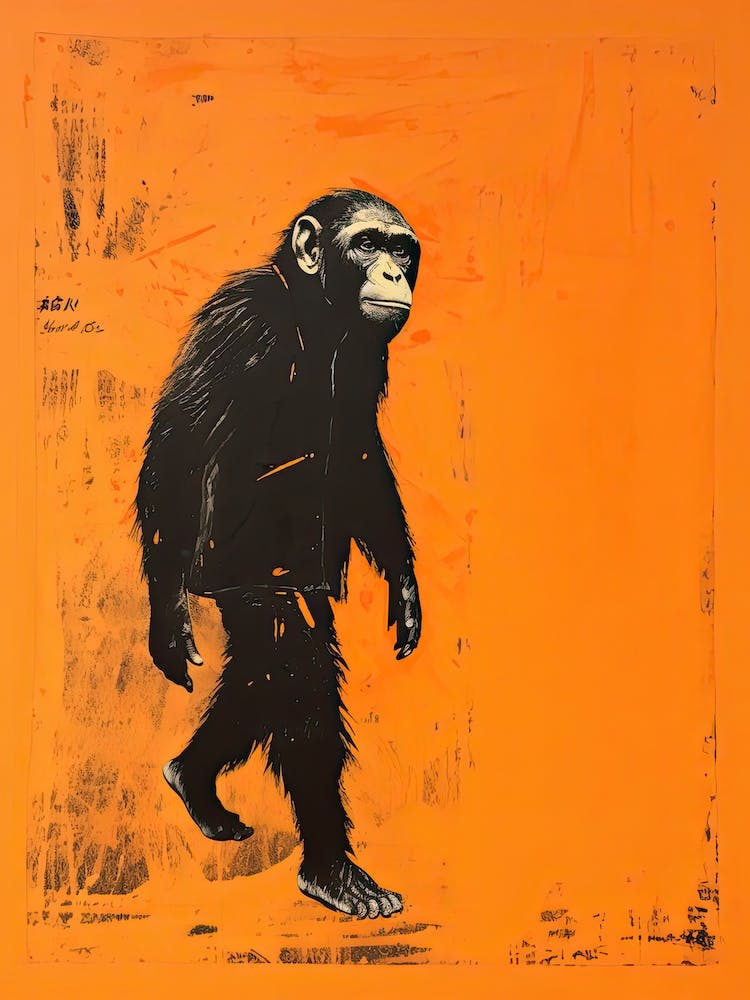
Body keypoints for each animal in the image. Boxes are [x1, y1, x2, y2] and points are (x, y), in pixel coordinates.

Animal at [135, 189, 422, 919]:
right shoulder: (238, 326)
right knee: (288, 662)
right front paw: (167, 624)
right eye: (367, 243)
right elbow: (180, 440)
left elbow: (358, 452)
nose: (392, 271)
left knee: (264, 671)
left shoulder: (365, 363)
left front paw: (406, 590)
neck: (313, 314)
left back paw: (193, 781)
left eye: (400, 248)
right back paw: (333, 872)